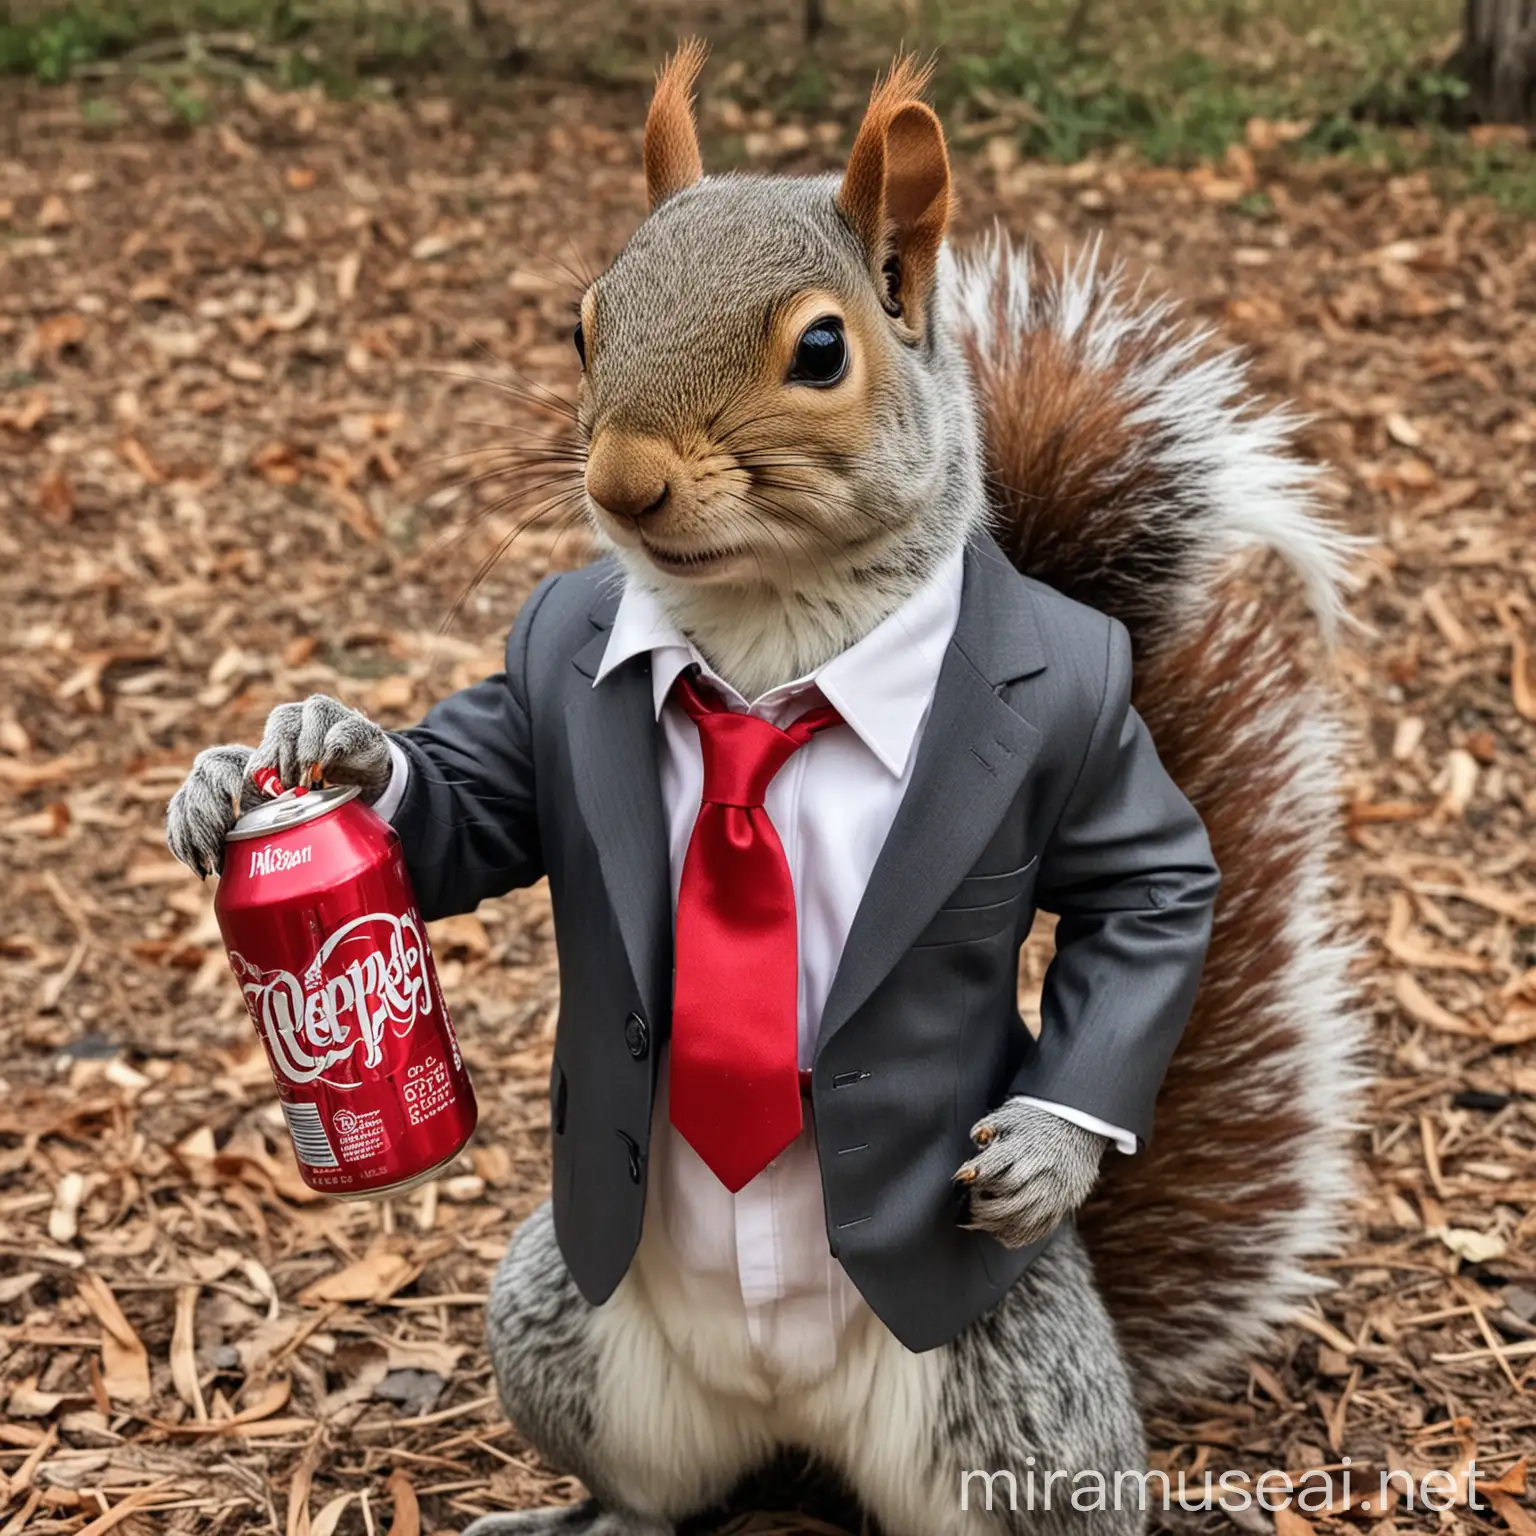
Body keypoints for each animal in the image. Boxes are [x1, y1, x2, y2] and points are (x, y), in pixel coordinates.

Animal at [171, 42, 1370, 1536]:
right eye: (582, 324)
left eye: (820, 350)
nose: (622, 482)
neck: (762, 638)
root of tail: (791, 1422)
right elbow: (471, 811)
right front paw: (290, 760)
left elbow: (1154, 889)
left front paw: (1041, 1147)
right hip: (563, 1319)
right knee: (654, 1489)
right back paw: (579, 1514)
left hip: (1010, 1399)